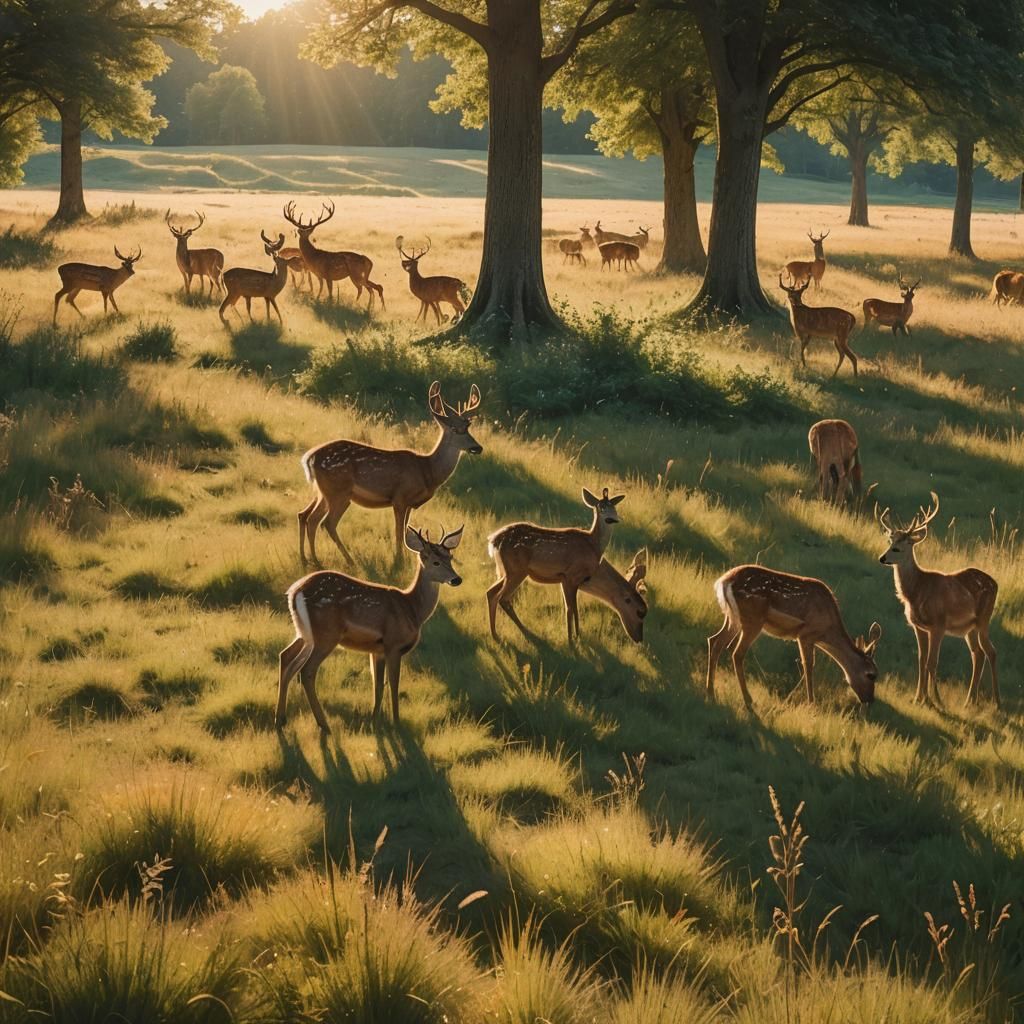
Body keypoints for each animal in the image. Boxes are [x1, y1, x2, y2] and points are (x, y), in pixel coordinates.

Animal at [277, 524, 463, 731]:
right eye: (435, 562)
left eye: (450, 558)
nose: (457, 579)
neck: (412, 609)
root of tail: (294, 592)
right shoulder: (393, 644)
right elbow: (394, 683)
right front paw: (396, 722)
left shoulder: (377, 650)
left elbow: (378, 685)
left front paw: (376, 719)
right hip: (326, 634)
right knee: (306, 671)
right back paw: (323, 724)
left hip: (304, 633)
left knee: (286, 657)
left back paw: (281, 719)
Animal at [298, 382, 482, 565]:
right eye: (456, 429)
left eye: (468, 428)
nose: (478, 447)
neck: (428, 471)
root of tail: (311, 457)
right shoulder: (400, 497)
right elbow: (399, 532)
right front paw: (398, 559)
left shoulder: (410, 503)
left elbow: (407, 532)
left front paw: (408, 556)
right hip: (339, 492)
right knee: (326, 522)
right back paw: (346, 560)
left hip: (323, 492)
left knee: (306, 516)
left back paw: (308, 559)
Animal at [486, 487, 626, 643]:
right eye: (601, 508)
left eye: (614, 508)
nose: (612, 519)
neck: (593, 545)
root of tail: (494, 540)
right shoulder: (570, 575)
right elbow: (570, 608)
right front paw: (571, 639)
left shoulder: (569, 579)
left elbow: (574, 608)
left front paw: (577, 635)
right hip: (517, 570)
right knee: (502, 598)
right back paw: (521, 631)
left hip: (505, 571)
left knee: (491, 592)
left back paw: (495, 633)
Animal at [707, 565, 882, 709]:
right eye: (871, 675)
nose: (869, 700)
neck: (827, 631)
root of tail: (724, 581)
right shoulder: (806, 634)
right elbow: (808, 666)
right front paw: (811, 703)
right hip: (753, 618)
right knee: (737, 653)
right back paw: (748, 700)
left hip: (733, 618)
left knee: (715, 641)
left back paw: (710, 693)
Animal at [876, 493, 998, 709]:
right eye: (889, 543)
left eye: (898, 548)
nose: (882, 558)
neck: (917, 591)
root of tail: (996, 584)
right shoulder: (919, 626)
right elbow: (921, 660)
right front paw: (919, 698)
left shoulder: (938, 624)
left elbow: (932, 662)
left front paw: (936, 700)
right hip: (970, 627)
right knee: (978, 653)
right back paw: (970, 700)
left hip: (984, 619)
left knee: (991, 652)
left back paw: (996, 703)